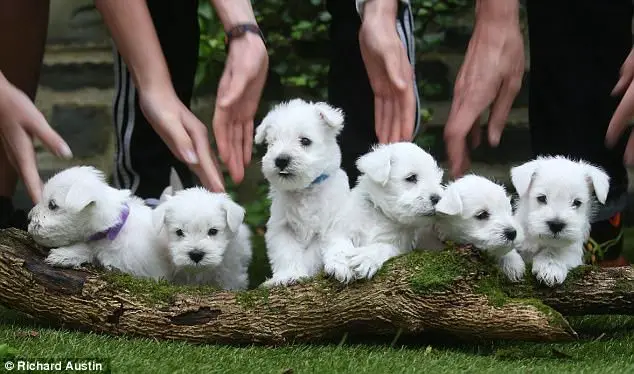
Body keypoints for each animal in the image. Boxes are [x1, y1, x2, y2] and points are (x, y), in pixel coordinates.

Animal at [253, 98, 350, 284]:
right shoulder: (282, 227)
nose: (281, 160)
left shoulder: (328, 226)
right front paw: (287, 275)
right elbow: (286, 252)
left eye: (305, 141)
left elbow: (313, 254)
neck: (305, 190)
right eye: (272, 143)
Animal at [326, 142, 444, 282]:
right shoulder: (341, 230)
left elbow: (382, 247)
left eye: (438, 180)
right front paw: (340, 263)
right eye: (411, 178)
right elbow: (339, 245)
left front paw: (366, 257)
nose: (438, 198)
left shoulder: (398, 246)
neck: (380, 214)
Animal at [508, 155, 608, 286]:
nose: (556, 224)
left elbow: (556, 251)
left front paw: (550, 268)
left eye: (577, 202)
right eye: (541, 198)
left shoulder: (573, 251)